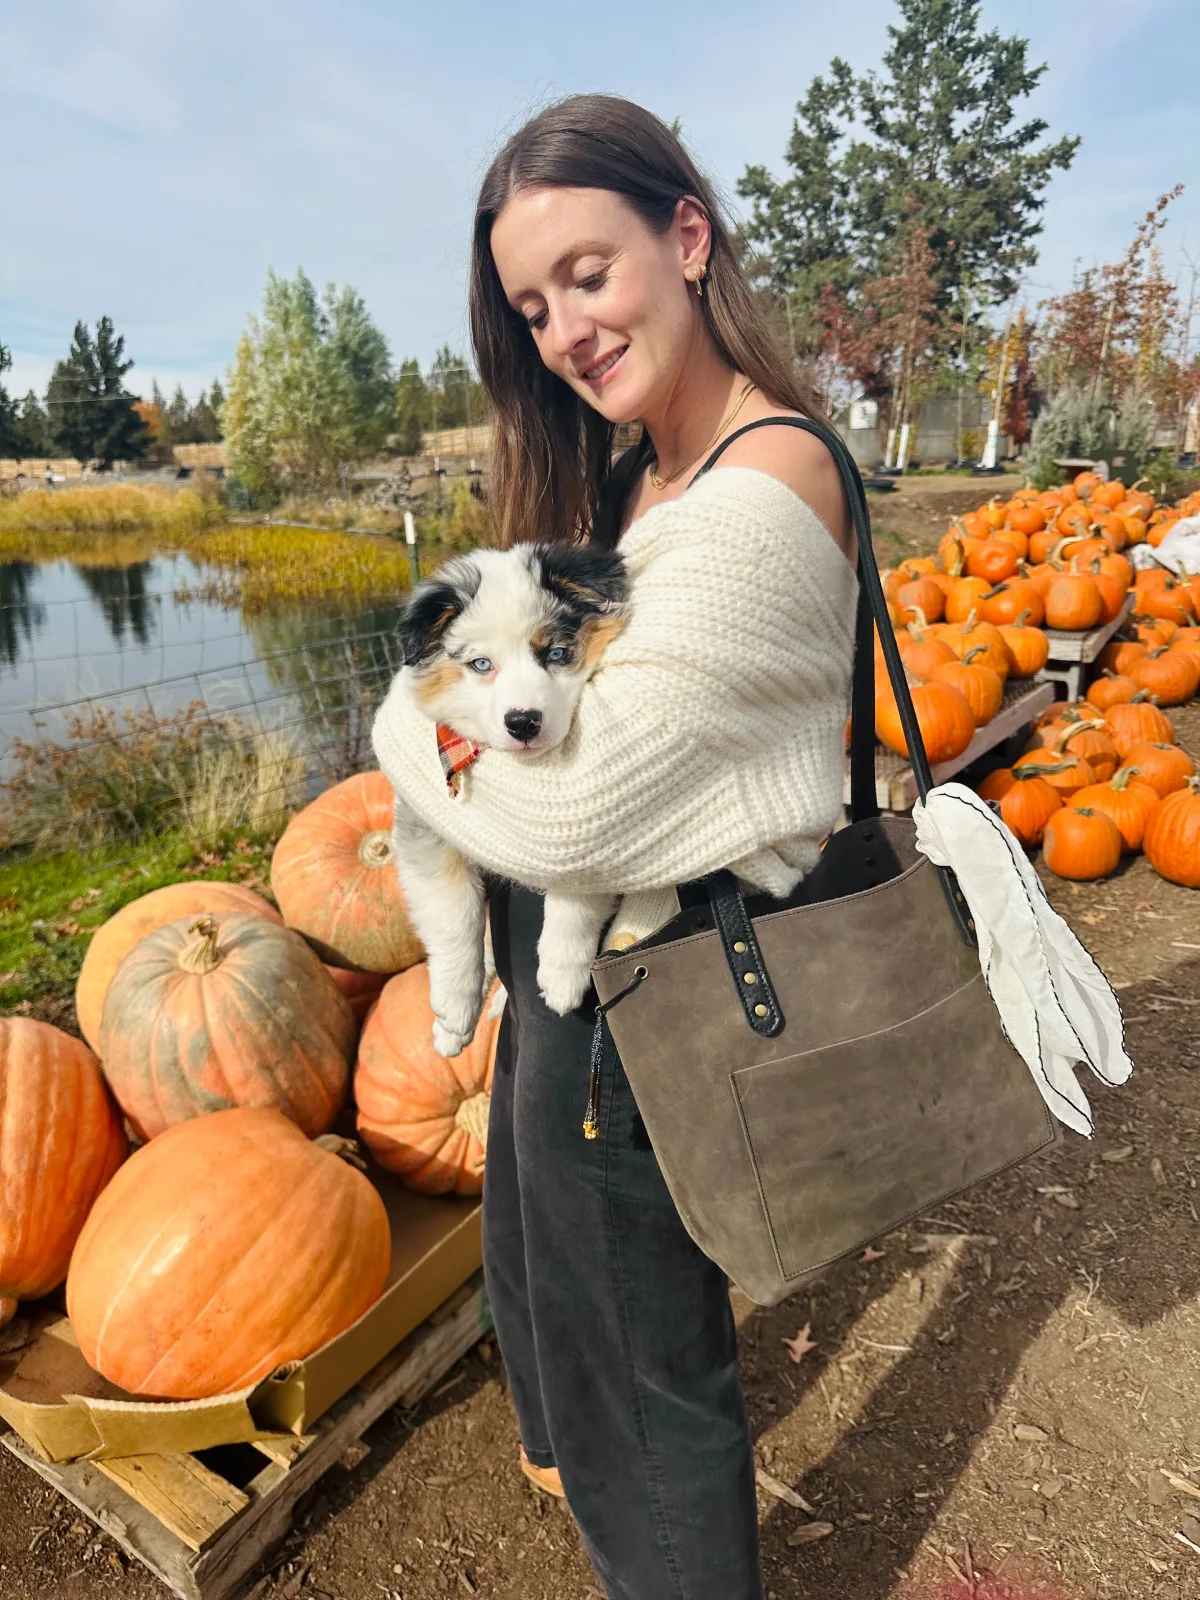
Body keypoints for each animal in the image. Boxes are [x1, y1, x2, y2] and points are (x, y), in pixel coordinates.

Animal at [396, 544, 640, 1056]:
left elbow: (578, 885)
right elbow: (454, 919)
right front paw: (454, 1009)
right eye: (480, 664)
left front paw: (563, 972)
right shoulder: (426, 824)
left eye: (556, 653)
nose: (523, 722)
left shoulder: (603, 815)